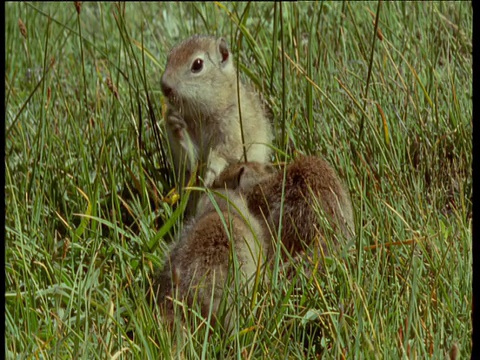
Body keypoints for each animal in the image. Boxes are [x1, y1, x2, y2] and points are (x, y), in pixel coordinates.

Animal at [162, 34, 272, 187]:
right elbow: (189, 159)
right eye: (169, 57)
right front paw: (174, 122)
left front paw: (209, 176)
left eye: (197, 64)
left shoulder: (232, 127)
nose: (164, 87)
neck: (202, 114)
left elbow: (224, 152)